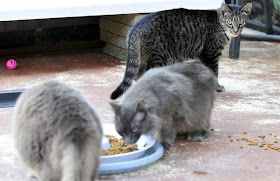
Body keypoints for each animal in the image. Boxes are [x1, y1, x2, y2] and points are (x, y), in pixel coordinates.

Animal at [110, 2, 253, 99]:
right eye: (230, 23)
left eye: (241, 23)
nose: (236, 31)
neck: (219, 25)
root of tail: (136, 27)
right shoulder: (211, 54)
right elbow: (214, 72)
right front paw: (217, 87)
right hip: (159, 57)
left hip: (146, 57)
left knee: (138, 74)